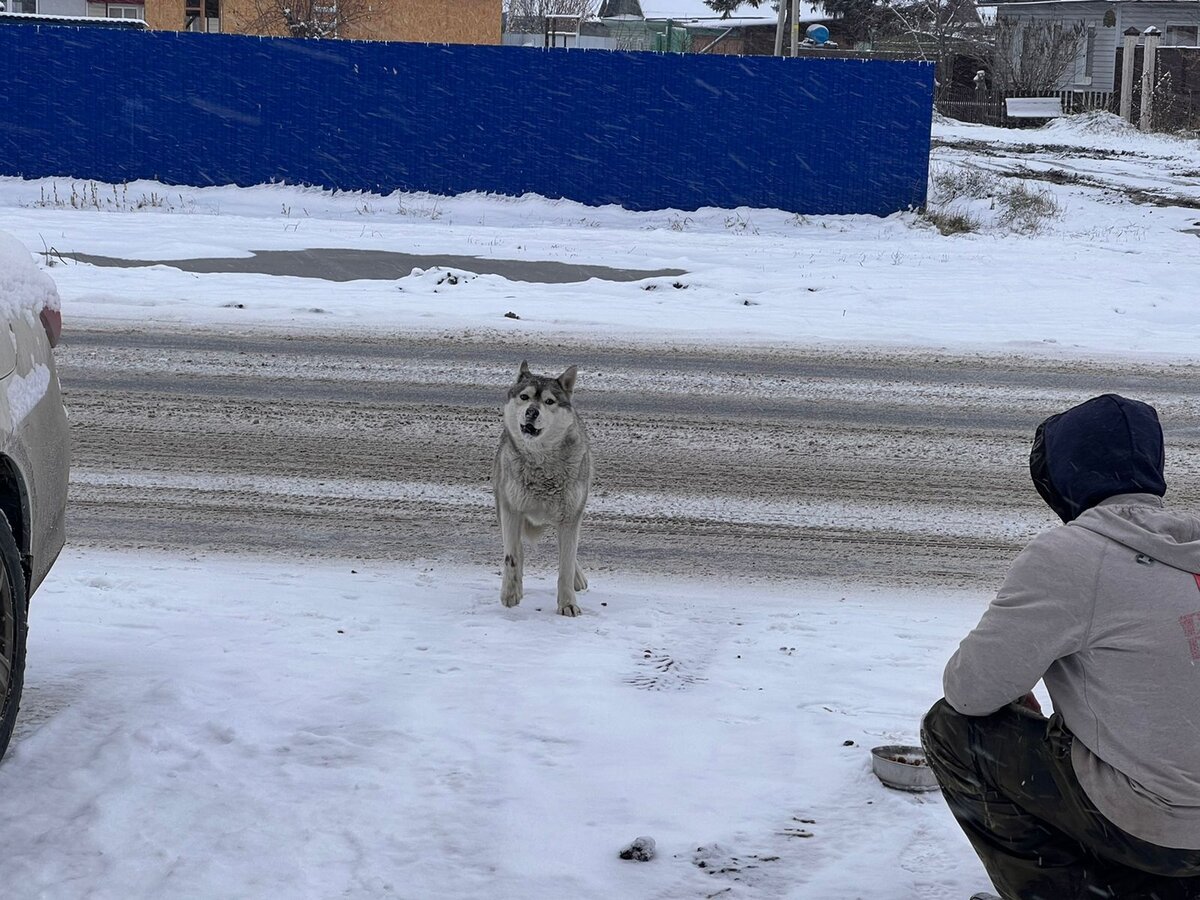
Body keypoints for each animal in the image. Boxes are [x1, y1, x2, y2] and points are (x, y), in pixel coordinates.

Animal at [492, 362, 595, 619]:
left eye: (549, 401)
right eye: (524, 397)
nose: (532, 412)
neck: (541, 466)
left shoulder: (571, 517)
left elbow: (566, 565)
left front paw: (568, 604)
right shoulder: (511, 509)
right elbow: (512, 556)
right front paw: (510, 593)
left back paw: (578, 578)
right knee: (517, 549)